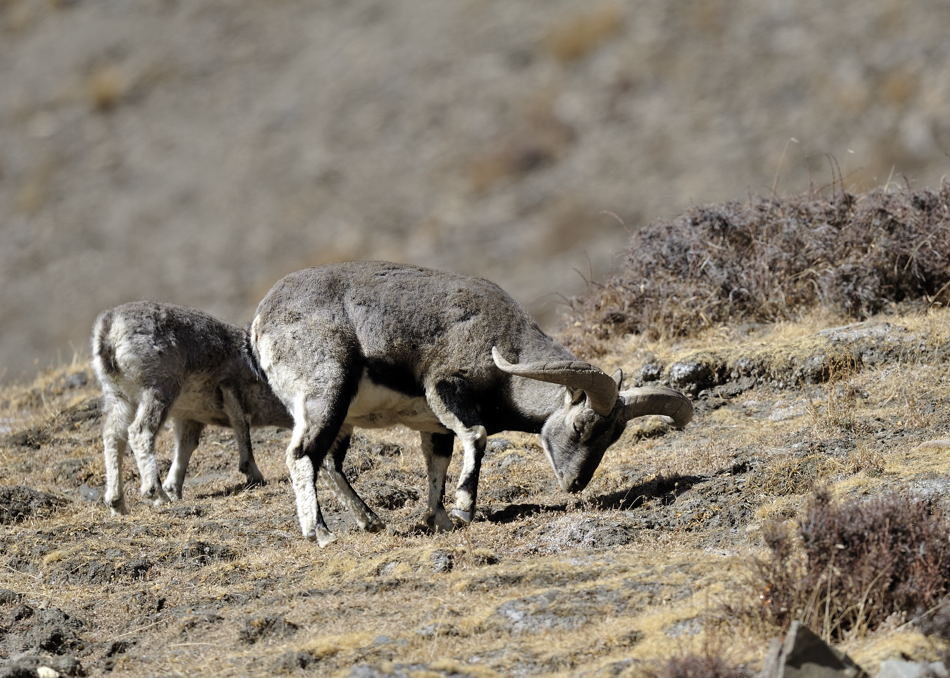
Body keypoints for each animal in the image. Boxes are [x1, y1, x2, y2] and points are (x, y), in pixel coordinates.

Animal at [249, 262, 696, 548]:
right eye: (579, 427)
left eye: (613, 437)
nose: (574, 484)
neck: (504, 339)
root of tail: (261, 320)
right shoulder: (446, 387)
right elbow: (477, 436)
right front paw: (465, 510)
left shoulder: (434, 426)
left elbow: (437, 466)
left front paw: (439, 520)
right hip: (327, 393)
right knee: (302, 455)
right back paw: (321, 534)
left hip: (345, 416)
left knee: (330, 461)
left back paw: (371, 522)